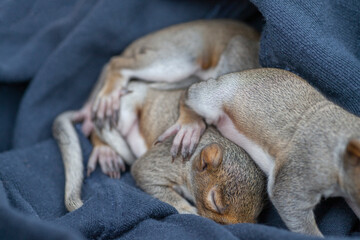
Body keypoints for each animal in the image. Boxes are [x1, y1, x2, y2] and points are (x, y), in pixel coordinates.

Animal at [54, 80, 268, 223]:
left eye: (257, 215)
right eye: (214, 201)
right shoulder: (164, 162)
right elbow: (149, 177)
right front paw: (187, 210)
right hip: (124, 110)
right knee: (95, 130)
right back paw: (105, 152)